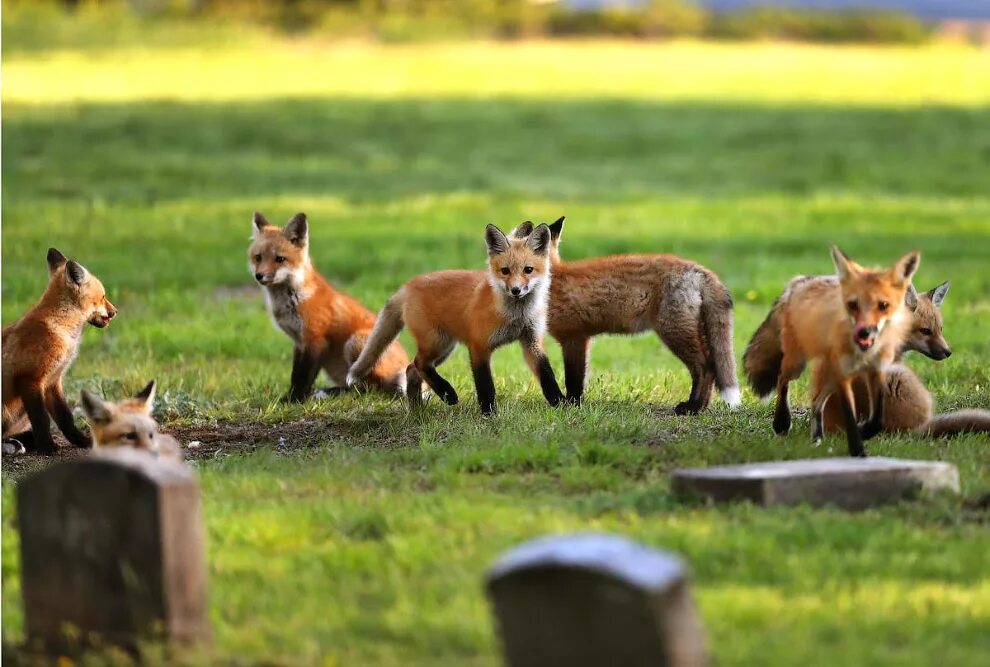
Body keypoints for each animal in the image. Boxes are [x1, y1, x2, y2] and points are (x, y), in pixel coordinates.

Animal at [2, 248, 117, 456]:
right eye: (103, 297)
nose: (115, 312)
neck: (60, 328)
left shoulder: (53, 381)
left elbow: (66, 419)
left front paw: (82, 441)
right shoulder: (30, 379)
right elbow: (42, 419)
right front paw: (47, 447)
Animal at [254, 213, 412, 402]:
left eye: (279, 259)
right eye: (258, 257)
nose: (259, 275)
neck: (292, 300)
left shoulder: (315, 339)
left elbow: (304, 377)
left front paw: (295, 400)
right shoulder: (299, 342)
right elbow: (295, 375)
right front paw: (292, 397)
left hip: (355, 343)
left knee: (373, 389)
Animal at [348, 222, 564, 414]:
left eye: (528, 270)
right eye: (505, 271)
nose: (516, 290)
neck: (515, 316)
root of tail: (407, 285)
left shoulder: (531, 340)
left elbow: (547, 374)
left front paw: (561, 402)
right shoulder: (478, 345)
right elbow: (485, 385)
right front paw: (489, 413)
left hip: (444, 348)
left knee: (411, 369)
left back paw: (417, 409)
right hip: (437, 343)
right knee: (419, 364)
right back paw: (447, 394)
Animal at [516, 219, 740, 414]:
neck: (551, 283)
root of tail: (698, 269)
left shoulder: (574, 337)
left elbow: (574, 380)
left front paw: (571, 405)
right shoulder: (581, 338)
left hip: (675, 333)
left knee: (705, 368)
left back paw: (692, 408)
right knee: (711, 369)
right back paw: (700, 407)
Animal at [744, 247, 924, 460]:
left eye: (883, 305)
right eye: (853, 305)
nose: (864, 332)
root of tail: (800, 280)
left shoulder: (877, 371)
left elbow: (878, 419)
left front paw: (865, 433)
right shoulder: (843, 375)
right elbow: (850, 417)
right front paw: (858, 451)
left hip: (828, 374)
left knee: (816, 403)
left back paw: (817, 438)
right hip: (798, 363)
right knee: (782, 378)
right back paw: (782, 422)